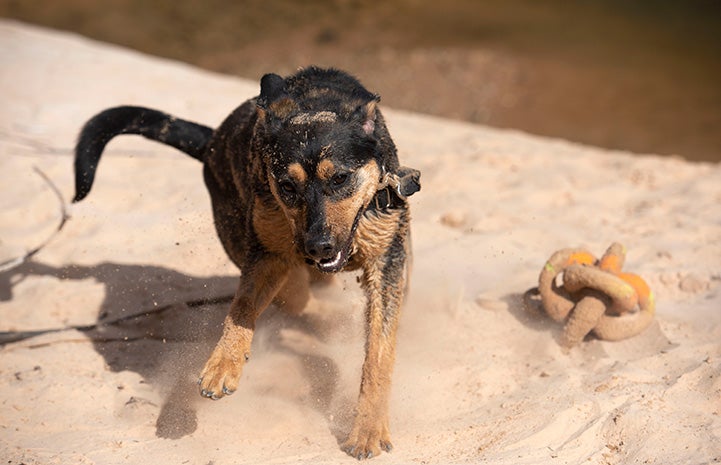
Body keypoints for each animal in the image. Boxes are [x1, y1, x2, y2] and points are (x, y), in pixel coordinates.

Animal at [72, 67, 420, 458]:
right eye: (287, 187)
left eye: (340, 178)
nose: (317, 247)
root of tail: (212, 141)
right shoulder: (267, 255)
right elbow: (242, 307)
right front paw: (223, 364)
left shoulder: (388, 261)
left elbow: (378, 352)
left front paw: (367, 429)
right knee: (297, 301)